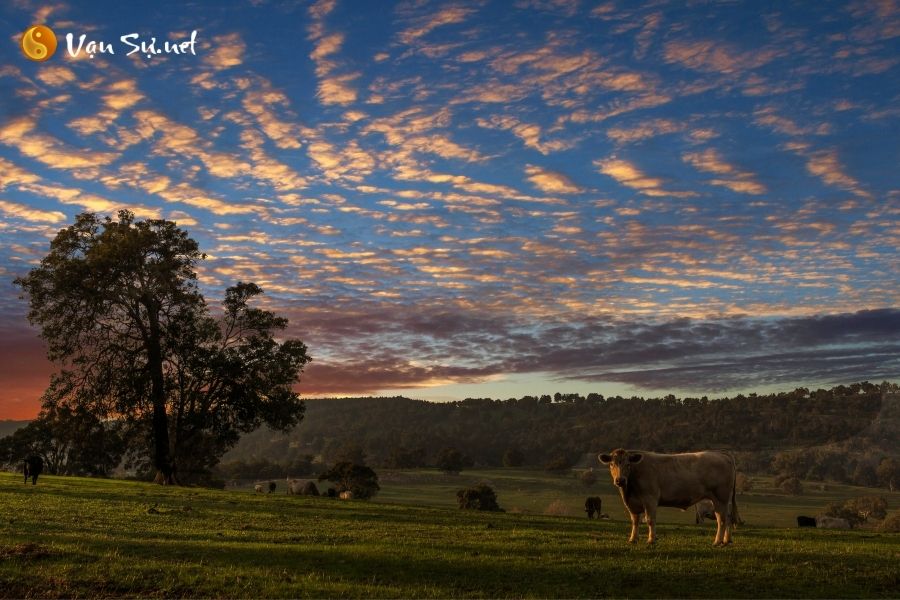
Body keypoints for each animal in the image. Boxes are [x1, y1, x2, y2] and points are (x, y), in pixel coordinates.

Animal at [596, 448, 740, 548]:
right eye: (611, 464)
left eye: (628, 464)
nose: (620, 480)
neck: (629, 491)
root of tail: (720, 453)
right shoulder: (632, 504)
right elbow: (635, 521)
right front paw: (633, 539)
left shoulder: (650, 499)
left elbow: (650, 520)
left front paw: (651, 540)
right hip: (724, 501)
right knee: (728, 518)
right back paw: (727, 540)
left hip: (720, 498)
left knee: (721, 519)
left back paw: (717, 541)